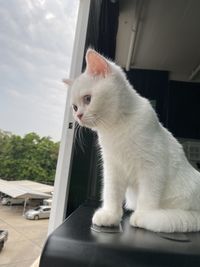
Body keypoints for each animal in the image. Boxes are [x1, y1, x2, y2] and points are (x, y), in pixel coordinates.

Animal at [63, 49, 200, 233]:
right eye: (75, 107)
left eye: (87, 99)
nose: (78, 116)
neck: (115, 128)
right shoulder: (112, 168)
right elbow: (111, 193)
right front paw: (110, 215)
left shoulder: (152, 167)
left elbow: (148, 196)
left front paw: (144, 215)